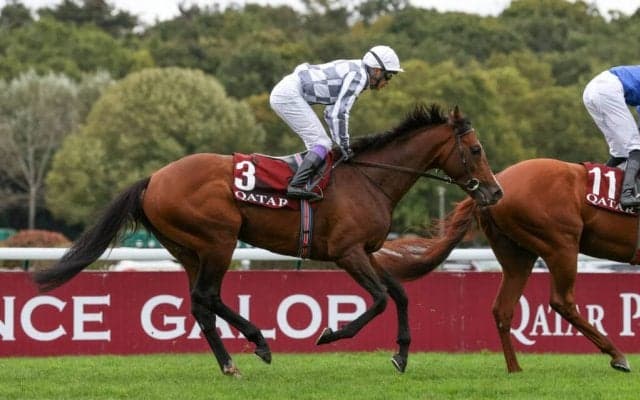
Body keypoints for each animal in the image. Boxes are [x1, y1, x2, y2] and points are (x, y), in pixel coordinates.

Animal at [32, 104, 503, 377]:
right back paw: (251, 346)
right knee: (207, 296)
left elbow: (400, 295)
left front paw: (402, 355)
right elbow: (381, 299)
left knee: (200, 302)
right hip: (218, 240)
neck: (371, 179)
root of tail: (153, 179)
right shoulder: (347, 252)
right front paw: (331, 334)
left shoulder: (367, 252)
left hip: (189, 248)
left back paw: (236, 358)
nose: (495, 192)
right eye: (476, 149)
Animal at [373, 158, 634, 373]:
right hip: (561, 244)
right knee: (562, 301)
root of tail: (496, 185)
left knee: (503, 308)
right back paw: (617, 356)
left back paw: (514, 368)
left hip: (517, 256)